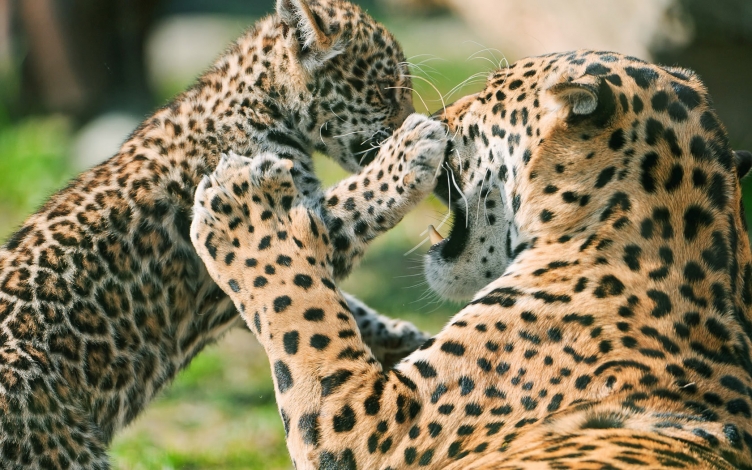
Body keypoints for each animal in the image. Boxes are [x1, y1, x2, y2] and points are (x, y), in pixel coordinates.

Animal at [0, 0, 450, 467]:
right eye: (388, 91)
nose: (418, 118)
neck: (259, 100)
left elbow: (317, 299)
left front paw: (398, 336)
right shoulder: (290, 218)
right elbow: (350, 206)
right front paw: (411, 151)